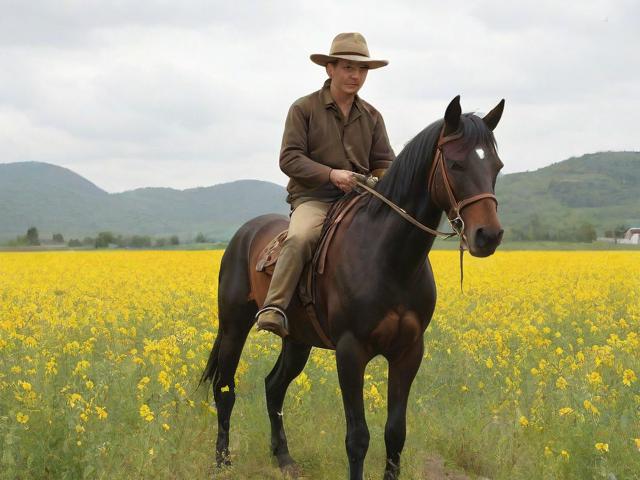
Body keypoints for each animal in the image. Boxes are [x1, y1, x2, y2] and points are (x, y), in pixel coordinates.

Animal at [200, 95, 505, 479]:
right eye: (455, 163)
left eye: (496, 166)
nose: (488, 235)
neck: (389, 258)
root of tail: (243, 233)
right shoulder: (350, 351)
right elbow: (358, 437)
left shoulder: (409, 352)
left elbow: (395, 432)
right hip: (234, 327)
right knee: (225, 389)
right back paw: (222, 460)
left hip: (297, 339)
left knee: (273, 387)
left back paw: (284, 459)